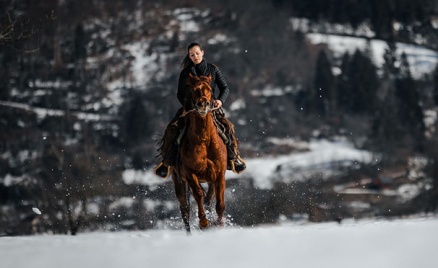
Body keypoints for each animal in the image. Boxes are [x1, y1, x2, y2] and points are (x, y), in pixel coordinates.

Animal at [171, 73, 228, 232]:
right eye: (194, 89)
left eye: (209, 88)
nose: (203, 104)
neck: (205, 141)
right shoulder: (190, 174)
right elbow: (198, 195)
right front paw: (203, 222)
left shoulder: (219, 174)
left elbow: (219, 204)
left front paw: (219, 224)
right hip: (178, 180)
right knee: (185, 209)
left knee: (208, 199)